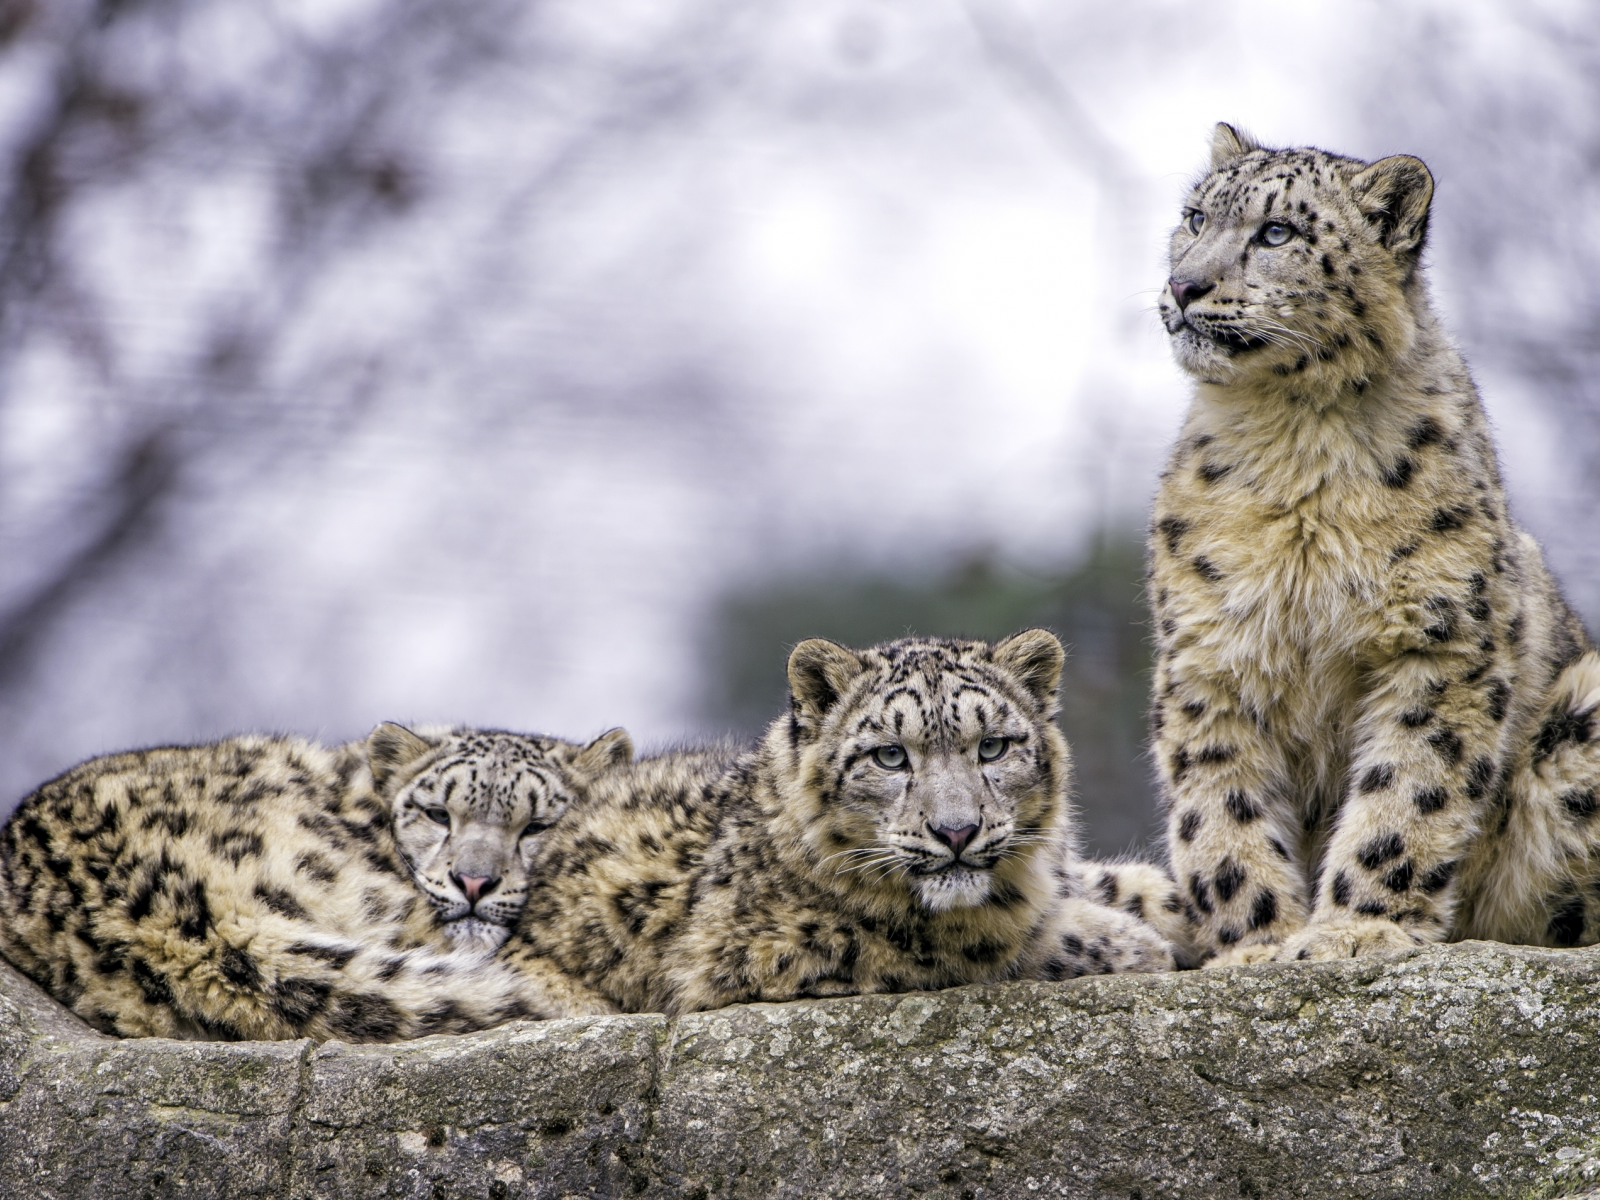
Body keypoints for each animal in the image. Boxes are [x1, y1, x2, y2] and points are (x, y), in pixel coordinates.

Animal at [505, 630, 1184, 1017]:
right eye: (890, 756)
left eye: (992, 747)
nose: (956, 831)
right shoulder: (793, 945)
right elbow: (995, 946)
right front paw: (1134, 944)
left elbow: (1128, 887)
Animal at [1145, 122, 1600, 966]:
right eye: (1194, 217)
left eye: (1276, 233)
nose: (1185, 285)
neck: (1291, 444)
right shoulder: (1210, 654)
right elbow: (1220, 808)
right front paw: (1255, 945)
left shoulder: (1437, 641)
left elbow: (1408, 791)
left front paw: (1354, 931)